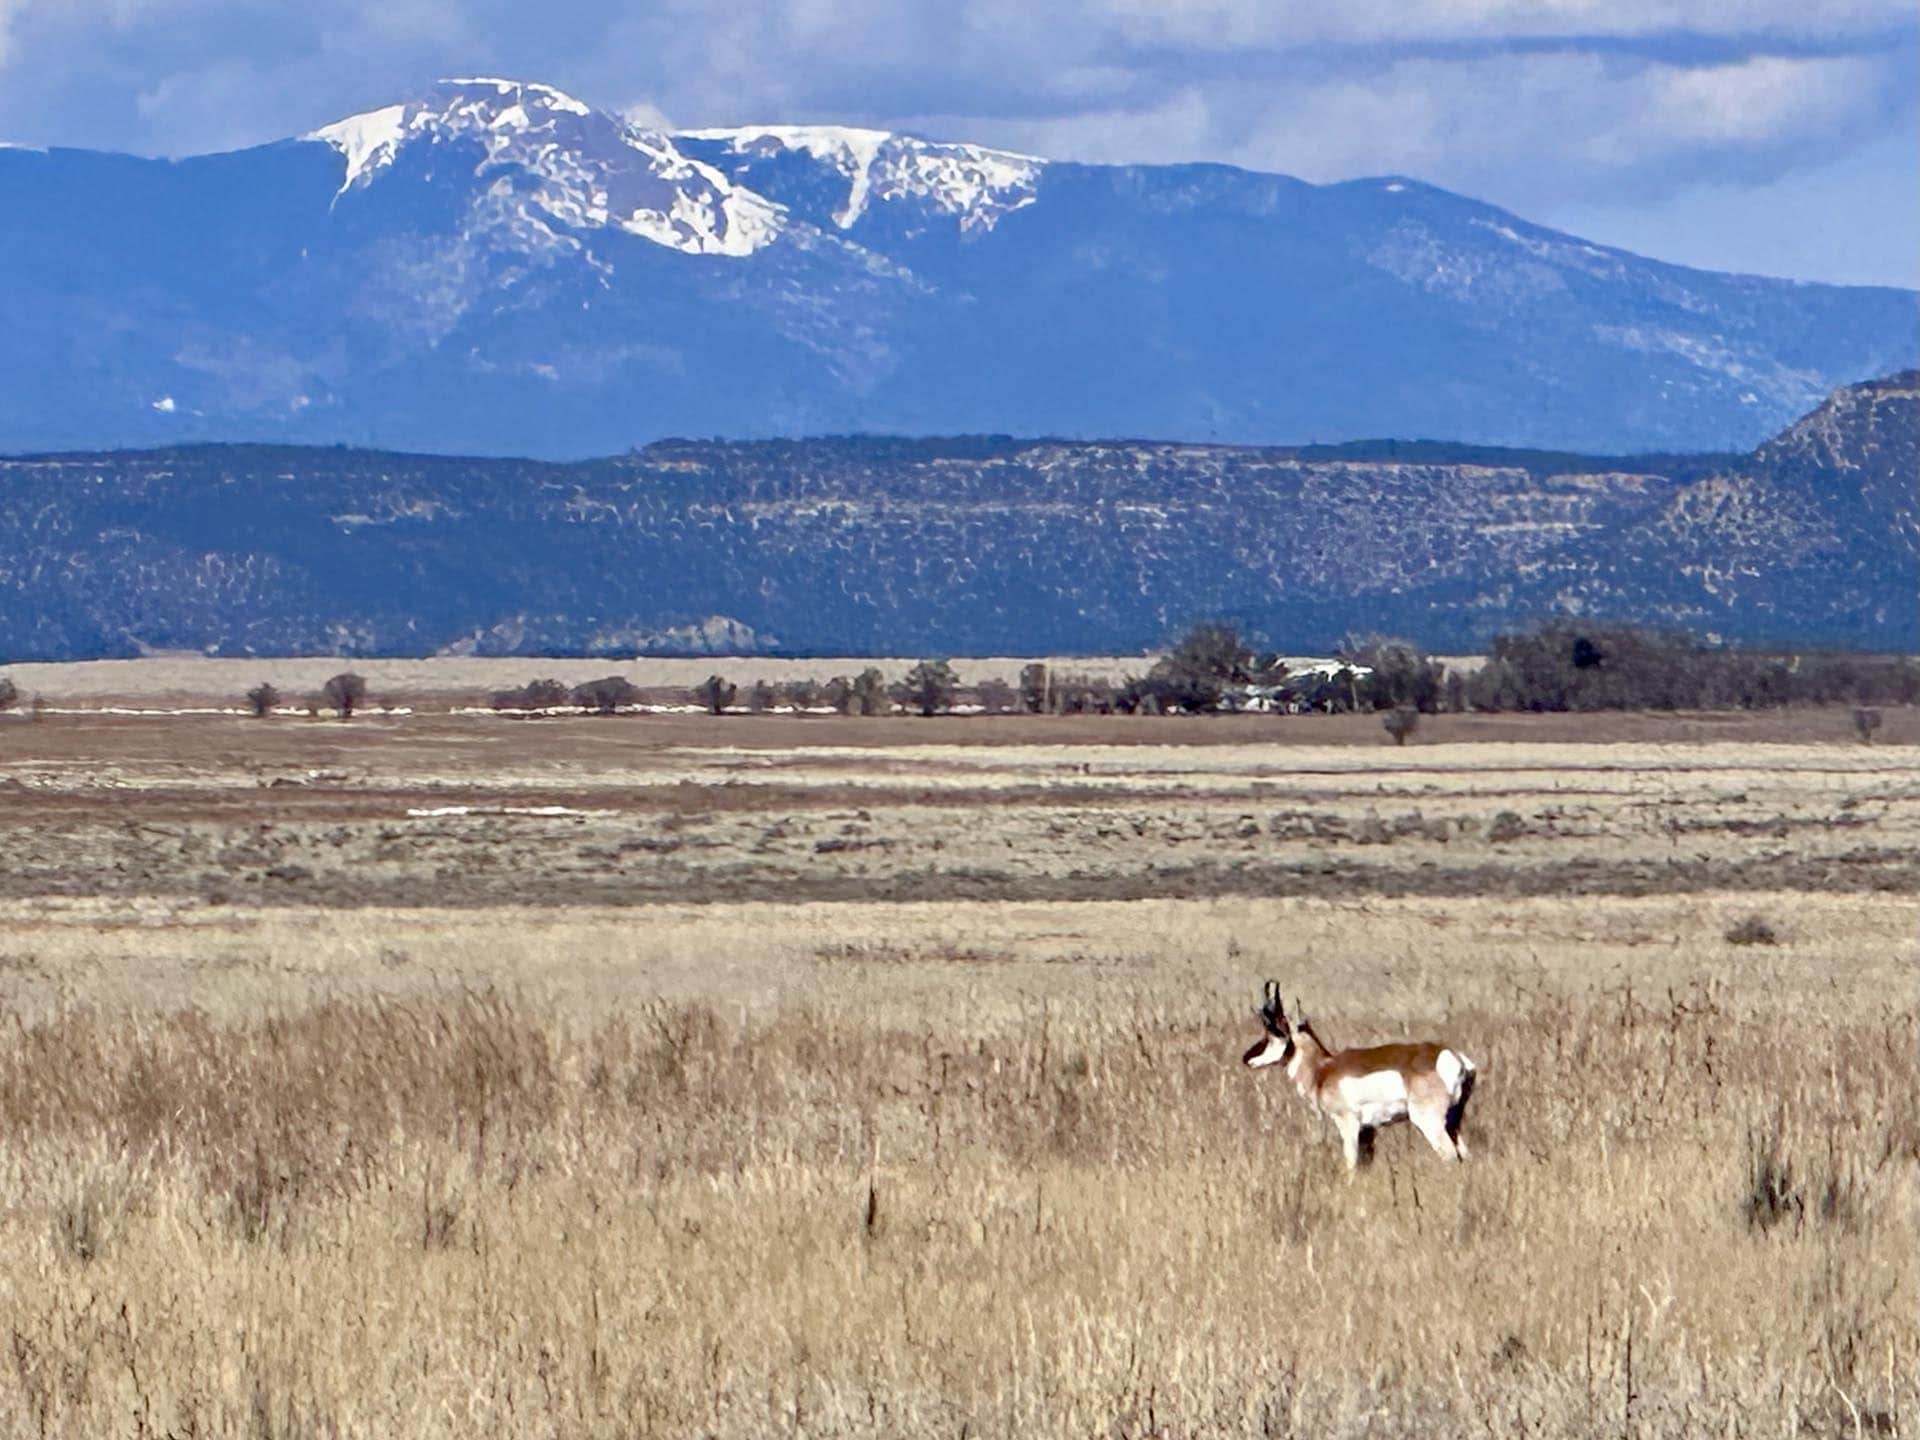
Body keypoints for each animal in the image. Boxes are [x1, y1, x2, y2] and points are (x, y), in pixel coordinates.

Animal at [1241, 980, 1476, 1172]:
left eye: (1272, 1032)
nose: (1246, 1058)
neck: (1322, 1070)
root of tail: (1452, 1056)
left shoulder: (1349, 1124)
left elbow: (1351, 1165)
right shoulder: (1367, 1132)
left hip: (1429, 1121)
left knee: (1449, 1155)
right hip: (1453, 1122)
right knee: (1465, 1155)